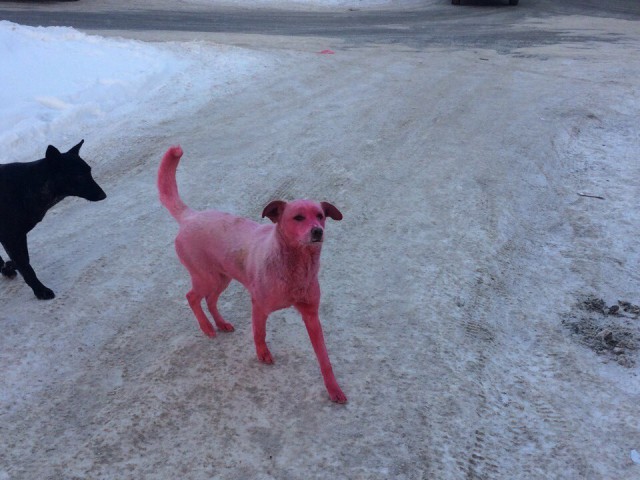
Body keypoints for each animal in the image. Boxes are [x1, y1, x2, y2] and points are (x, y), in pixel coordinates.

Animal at [0, 141, 106, 298]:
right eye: (79, 176)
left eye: (89, 171)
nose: (103, 195)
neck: (27, 185)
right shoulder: (11, 238)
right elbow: (26, 267)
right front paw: (40, 291)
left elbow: (19, 261)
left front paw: (8, 267)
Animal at [158, 145, 348, 402]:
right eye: (298, 217)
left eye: (320, 215)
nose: (317, 231)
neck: (295, 267)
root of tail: (190, 216)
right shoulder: (259, 306)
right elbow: (259, 333)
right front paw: (262, 354)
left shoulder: (311, 315)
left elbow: (324, 358)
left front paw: (333, 389)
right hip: (206, 277)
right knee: (192, 297)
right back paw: (207, 327)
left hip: (222, 278)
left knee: (210, 299)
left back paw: (220, 323)